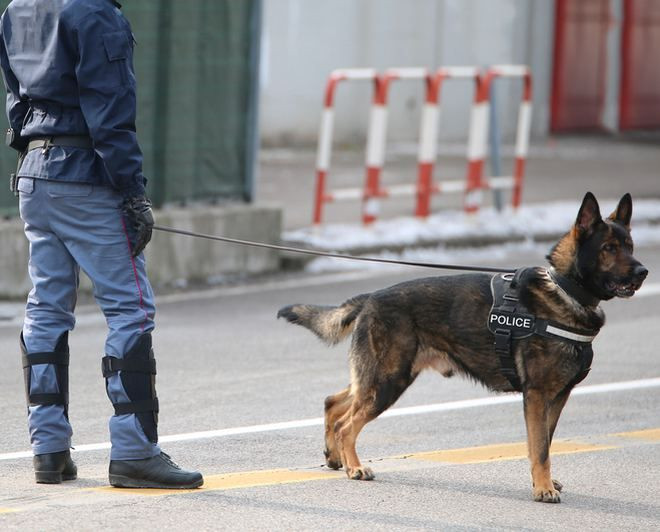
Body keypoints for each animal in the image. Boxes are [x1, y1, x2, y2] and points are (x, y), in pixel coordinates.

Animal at [280, 192, 648, 502]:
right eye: (609, 248)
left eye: (629, 245)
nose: (644, 271)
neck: (566, 290)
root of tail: (370, 297)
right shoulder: (538, 395)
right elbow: (540, 447)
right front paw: (542, 488)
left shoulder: (557, 396)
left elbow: (544, 441)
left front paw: (542, 482)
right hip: (388, 381)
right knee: (347, 423)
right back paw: (355, 466)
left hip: (380, 377)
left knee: (334, 403)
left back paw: (335, 458)